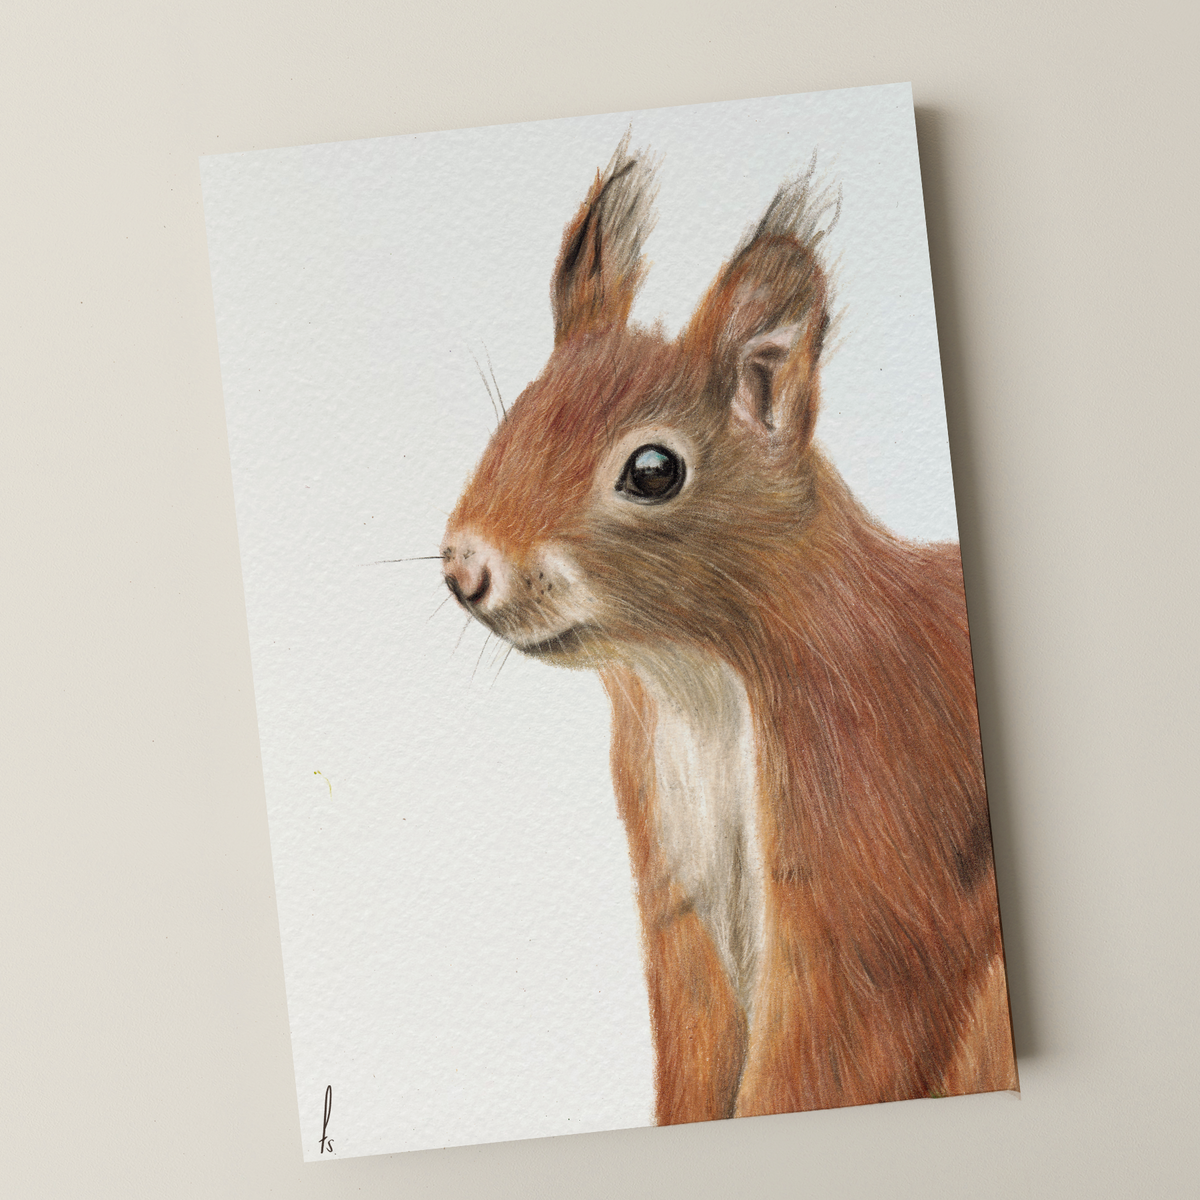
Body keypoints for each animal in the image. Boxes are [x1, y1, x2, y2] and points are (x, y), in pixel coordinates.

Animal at [440, 137, 1018, 1124]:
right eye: (515, 415)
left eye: (653, 470)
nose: (466, 569)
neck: (699, 689)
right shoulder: (683, 916)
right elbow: (700, 1060)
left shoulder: (875, 874)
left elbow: (816, 1066)